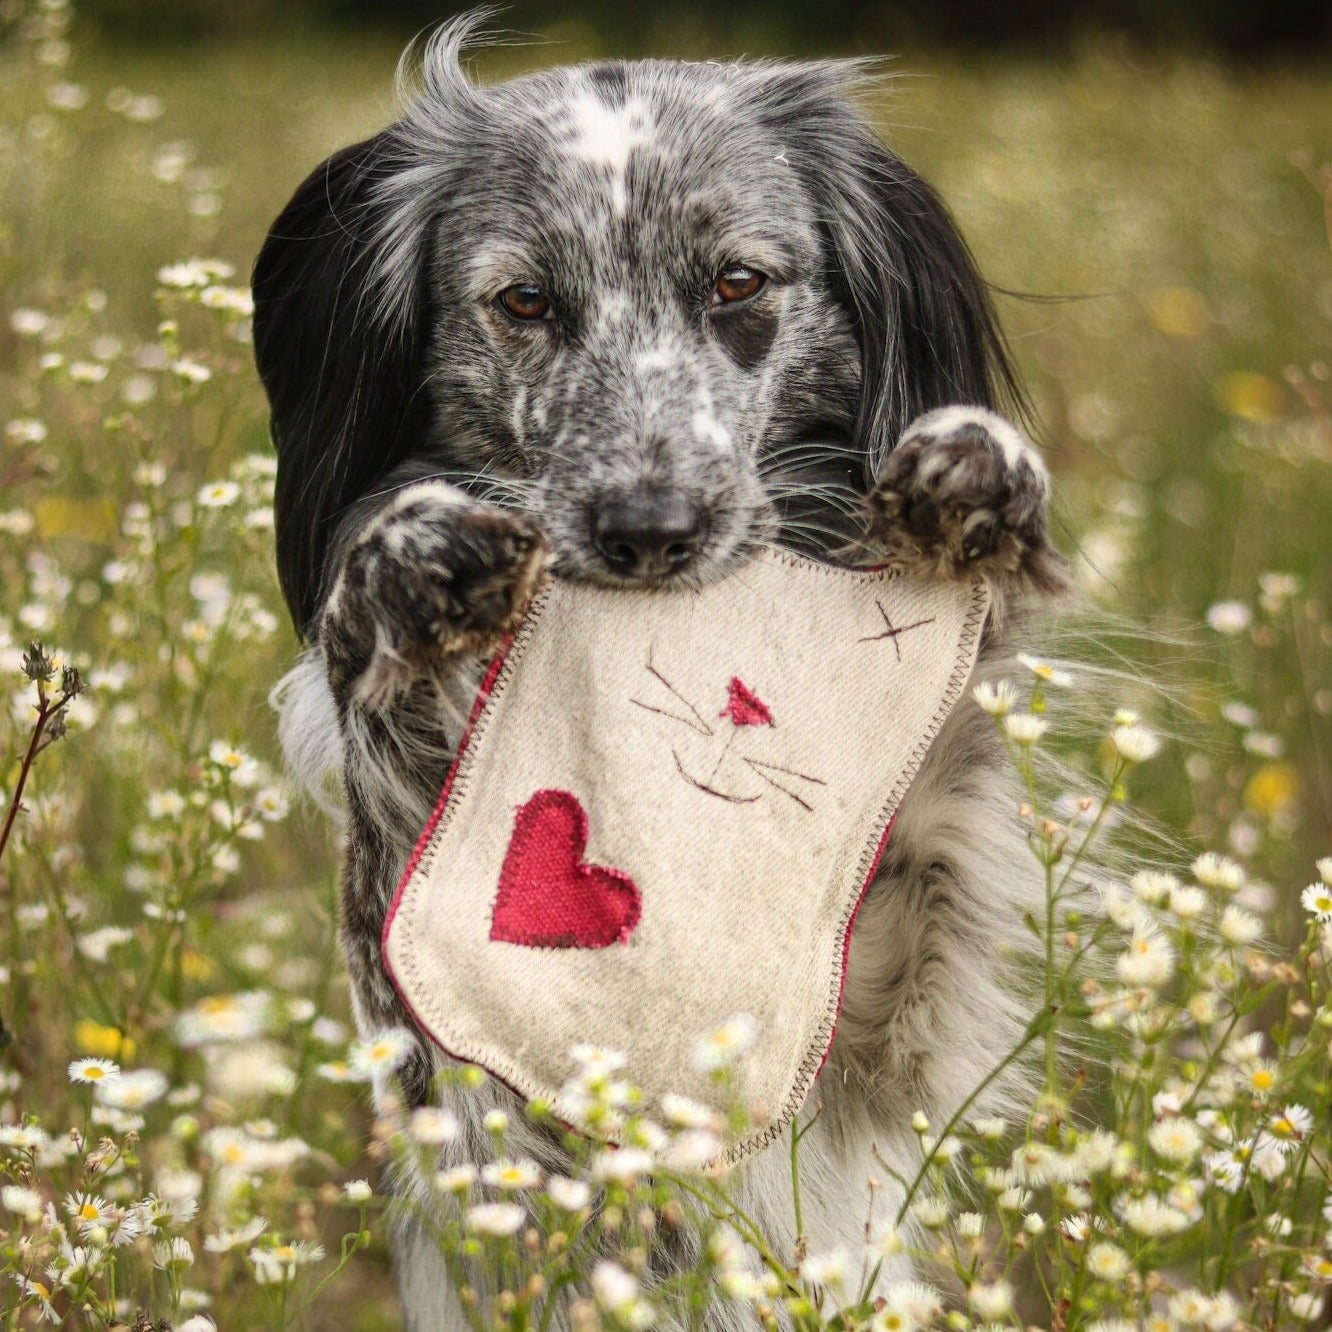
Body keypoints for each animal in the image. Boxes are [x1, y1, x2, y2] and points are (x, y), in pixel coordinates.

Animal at [251, 18, 1060, 1321]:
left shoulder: (891, 993)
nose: (649, 529)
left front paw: (975, 471)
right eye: (524, 300)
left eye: (738, 282)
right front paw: (415, 556)